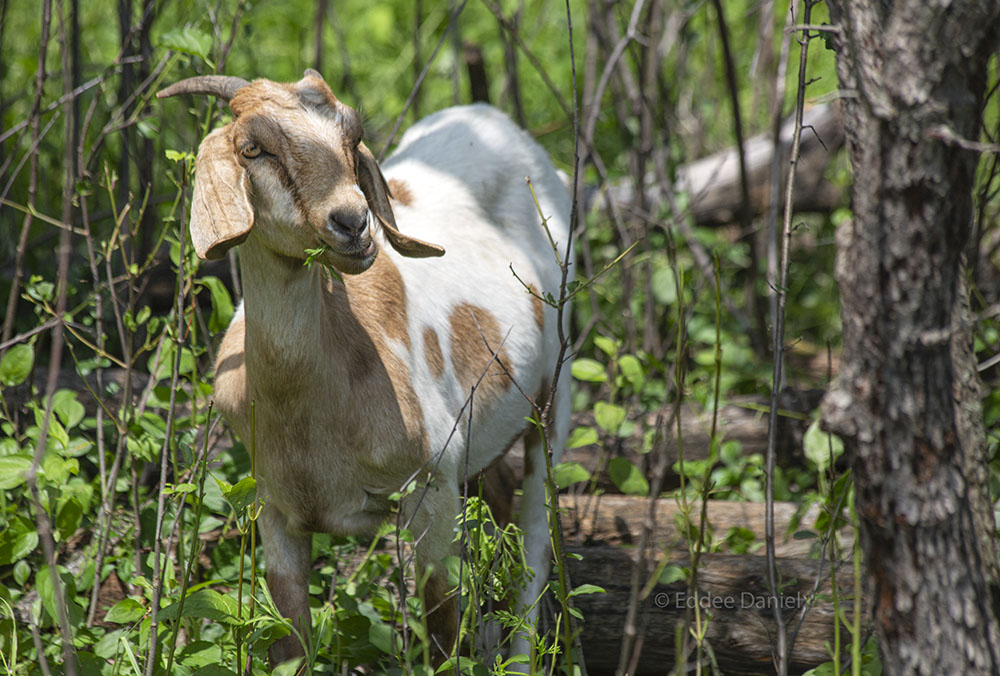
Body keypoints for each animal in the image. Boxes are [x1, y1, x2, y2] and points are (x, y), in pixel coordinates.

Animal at [160, 70, 576, 664]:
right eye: (253, 148)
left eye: (350, 135)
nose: (353, 224)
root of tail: (496, 121)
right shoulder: (276, 511)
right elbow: (292, 644)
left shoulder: (432, 491)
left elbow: (441, 633)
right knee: (498, 504)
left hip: (555, 389)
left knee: (537, 538)